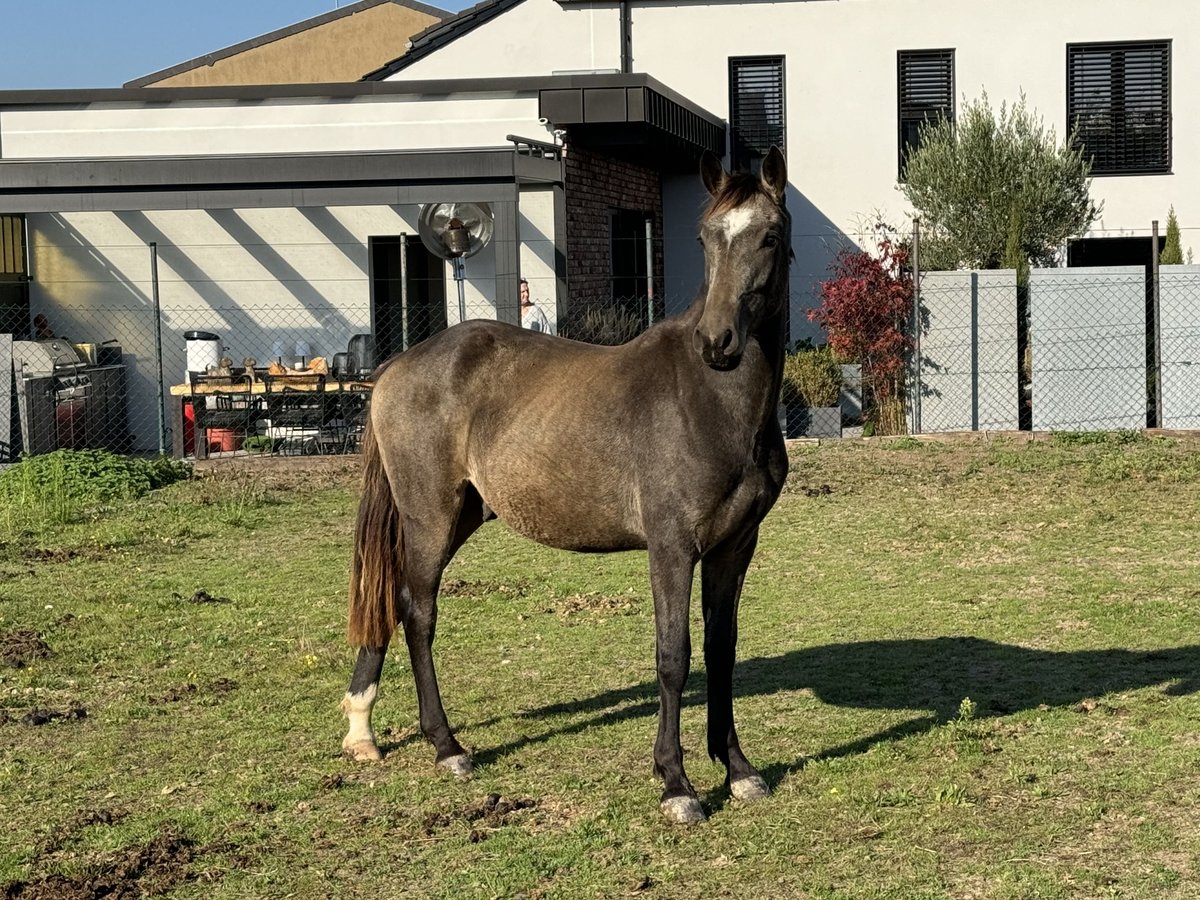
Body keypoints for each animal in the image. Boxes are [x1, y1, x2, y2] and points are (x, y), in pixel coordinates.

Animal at [343, 146, 792, 825]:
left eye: (768, 235)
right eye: (705, 237)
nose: (717, 343)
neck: (712, 402)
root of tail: (399, 364)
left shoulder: (734, 548)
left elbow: (722, 651)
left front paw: (737, 770)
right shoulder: (671, 550)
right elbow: (674, 657)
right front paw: (677, 785)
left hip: (463, 515)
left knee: (393, 605)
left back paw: (362, 728)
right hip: (430, 517)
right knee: (416, 611)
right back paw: (448, 747)